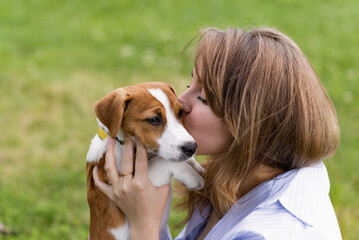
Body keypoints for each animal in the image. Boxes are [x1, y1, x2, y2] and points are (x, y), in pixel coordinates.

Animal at [86, 82, 205, 240]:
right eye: (154, 119)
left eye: (180, 112)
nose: (192, 148)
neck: (119, 142)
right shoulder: (144, 181)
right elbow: (165, 161)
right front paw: (193, 177)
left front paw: (198, 167)